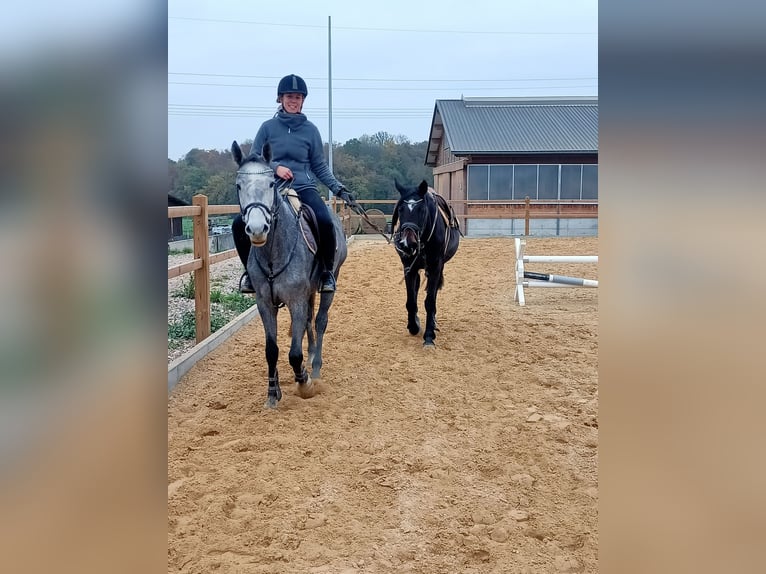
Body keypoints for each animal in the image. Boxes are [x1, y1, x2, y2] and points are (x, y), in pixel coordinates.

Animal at [230, 140, 346, 410]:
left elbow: (294, 353)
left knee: (320, 321)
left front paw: (304, 382)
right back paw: (311, 354)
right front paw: (273, 393)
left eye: (271, 183)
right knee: (308, 322)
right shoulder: (265, 303)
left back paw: (315, 367)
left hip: (329, 284)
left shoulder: (295, 300)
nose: (257, 229)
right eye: (239, 185)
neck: (274, 252)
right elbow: (271, 349)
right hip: (308, 292)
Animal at [392, 182, 460, 348]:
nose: (407, 243)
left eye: (422, 210)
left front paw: (429, 336)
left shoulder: (435, 267)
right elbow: (411, 300)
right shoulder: (409, 268)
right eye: (400, 209)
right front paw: (413, 326)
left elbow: (430, 301)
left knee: (432, 293)